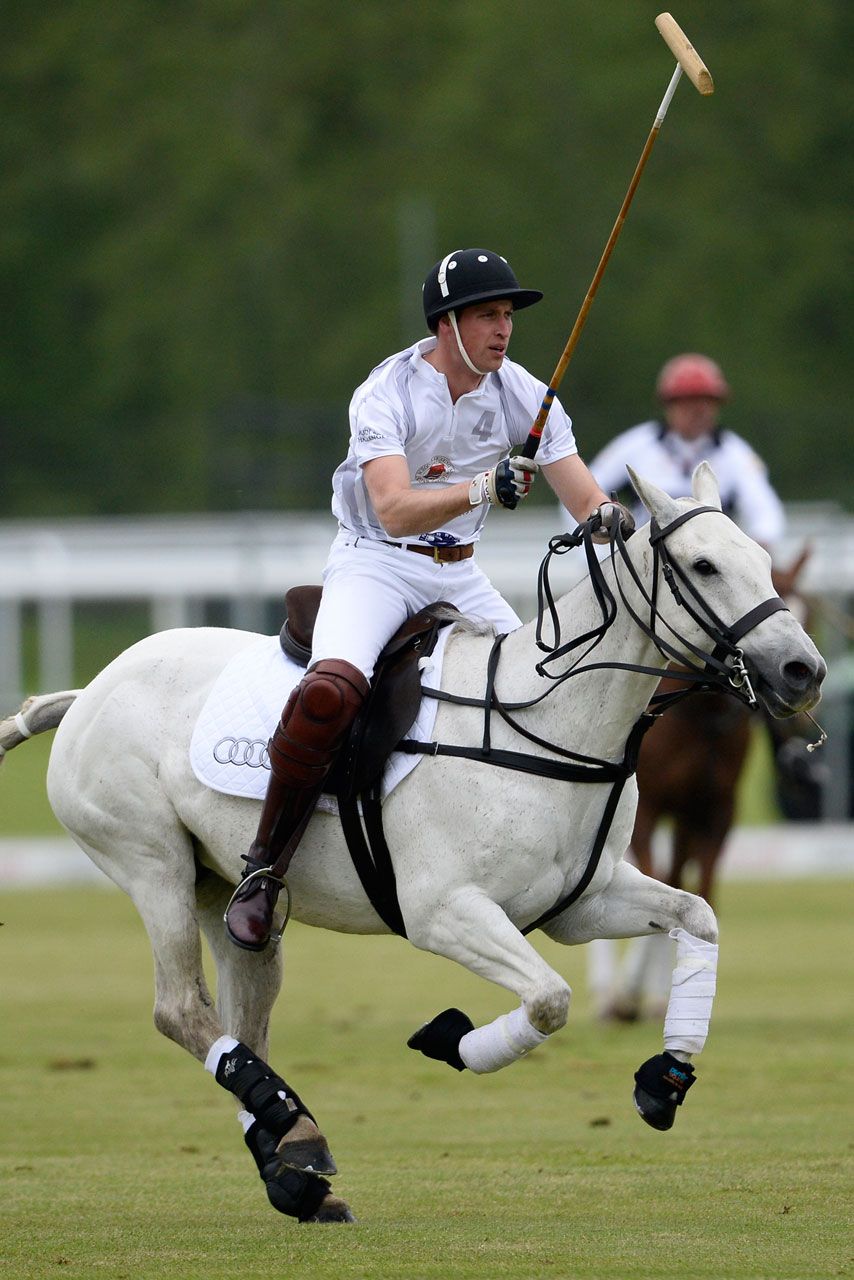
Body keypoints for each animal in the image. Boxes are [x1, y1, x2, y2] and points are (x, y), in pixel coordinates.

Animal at [1, 468, 829, 1218]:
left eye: (762, 557)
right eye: (704, 565)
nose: (805, 670)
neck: (553, 726)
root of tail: (90, 689)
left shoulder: (581, 902)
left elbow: (697, 916)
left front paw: (664, 1081)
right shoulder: (443, 910)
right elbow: (549, 1000)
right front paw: (449, 1038)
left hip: (225, 892)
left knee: (244, 1012)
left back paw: (292, 1161)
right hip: (152, 863)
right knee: (179, 1009)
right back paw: (293, 1134)